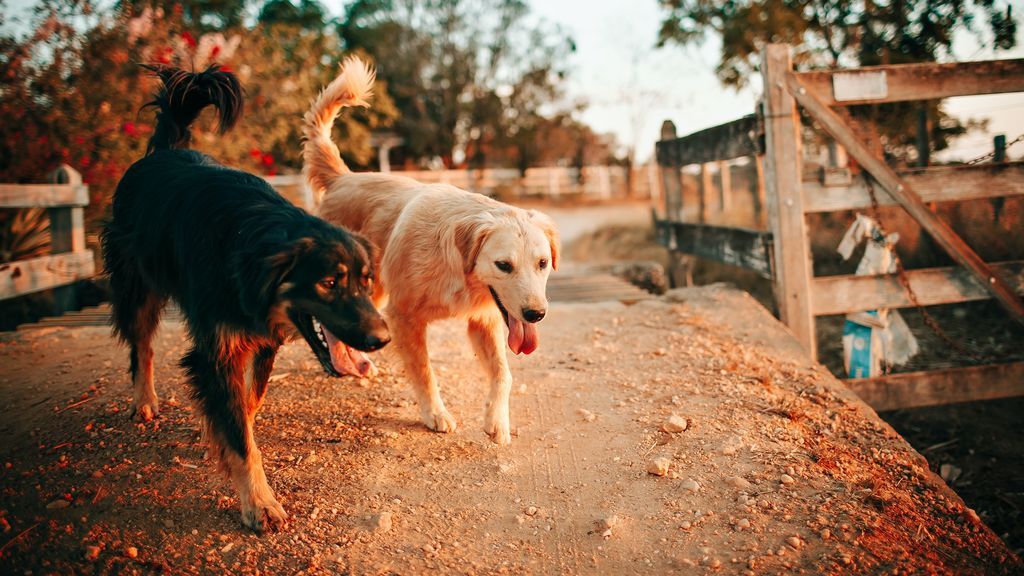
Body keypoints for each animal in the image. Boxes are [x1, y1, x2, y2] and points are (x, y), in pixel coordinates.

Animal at [100, 63, 387, 528]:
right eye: (329, 282)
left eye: (366, 281)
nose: (382, 340)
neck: (249, 246)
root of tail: (162, 151)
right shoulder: (217, 348)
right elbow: (237, 432)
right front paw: (259, 501)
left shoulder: (262, 340)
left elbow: (246, 406)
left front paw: (220, 433)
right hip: (137, 286)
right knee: (141, 346)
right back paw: (144, 400)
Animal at [303, 57, 561, 444]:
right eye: (504, 265)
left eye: (542, 263)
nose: (536, 315)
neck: (457, 270)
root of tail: (343, 177)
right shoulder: (404, 317)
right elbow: (424, 371)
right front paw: (435, 413)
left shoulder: (483, 320)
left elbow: (504, 374)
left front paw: (497, 421)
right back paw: (344, 362)